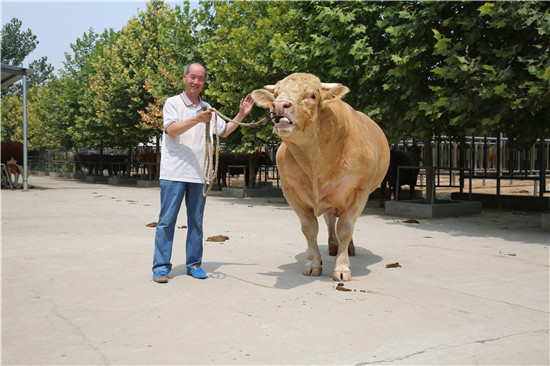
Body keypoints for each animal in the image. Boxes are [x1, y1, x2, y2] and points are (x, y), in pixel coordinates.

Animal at [252, 73, 390, 282]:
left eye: (312, 95)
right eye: (275, 94)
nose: (279, 106)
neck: (316, 162)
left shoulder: (358, 192)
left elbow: (346, 229)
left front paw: (342, 267)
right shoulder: (291, 192)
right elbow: (310, 229)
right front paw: (313, 264)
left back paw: (348, 248)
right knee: (330, 220)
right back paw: (332, 246)